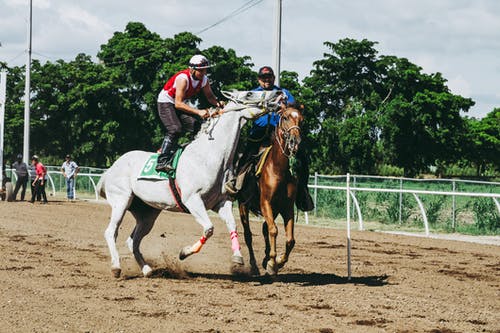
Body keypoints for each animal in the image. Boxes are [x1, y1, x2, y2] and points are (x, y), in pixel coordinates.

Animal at [97, 89, 282, 276]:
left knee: (133, 240)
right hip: (121, 201)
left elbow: (232, 224)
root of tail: (111, 169)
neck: (209, 156)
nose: (277, 93)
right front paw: (184, 252)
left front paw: (237, 258)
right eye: (250, 93)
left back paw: (147, 269)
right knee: (110, 232)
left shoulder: (221, 201)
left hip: (147, 213)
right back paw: (116, 267)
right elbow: (209, 228)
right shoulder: (192, 200)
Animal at [238, 104, 304, 274]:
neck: (279, 169)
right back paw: (254, 265)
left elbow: (290, 239)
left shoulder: (287, 207)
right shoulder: (265, 202)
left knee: (264, 228)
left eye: (301, 120)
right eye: (285, 117)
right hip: (243, 205)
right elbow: (274, 230)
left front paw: (278, 261)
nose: (295, 140)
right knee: (248, 235)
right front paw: (273, 263)